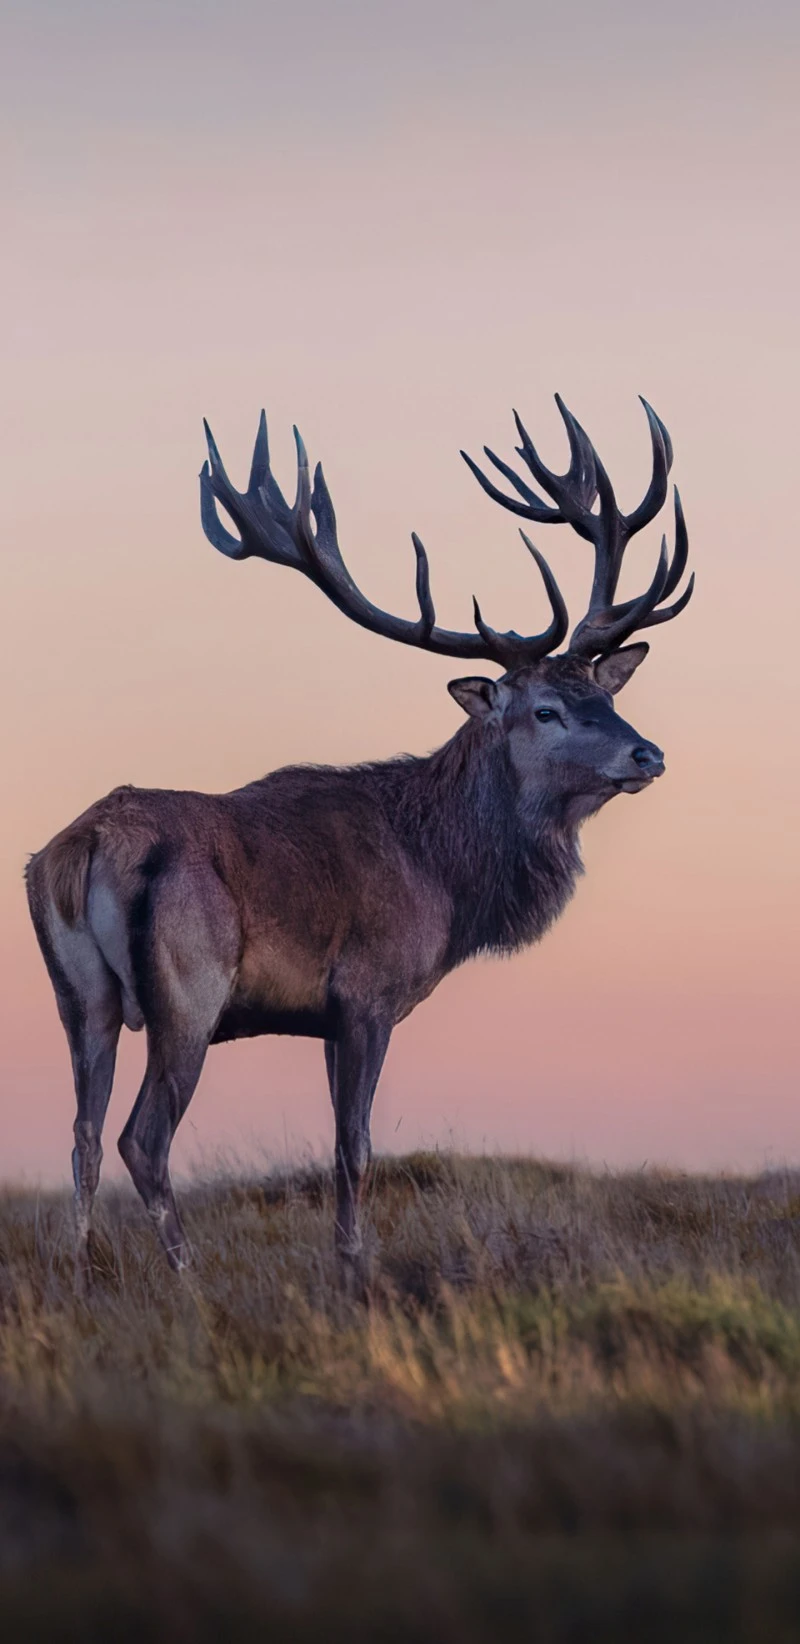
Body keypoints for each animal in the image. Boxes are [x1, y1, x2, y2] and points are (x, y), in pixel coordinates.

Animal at [26, 394, 693, 1284]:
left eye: (604, 694)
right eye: (545, 709)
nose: (646, 753)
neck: (444, 880)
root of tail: (83, 846)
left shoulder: (324, 1016)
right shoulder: (367, 994)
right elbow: (355, 1147)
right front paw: (353, 1269)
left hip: (79, 997)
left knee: (84, 1135)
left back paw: (82, 1269)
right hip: (188, 990)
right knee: (143, 1138)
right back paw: (186, 1277)